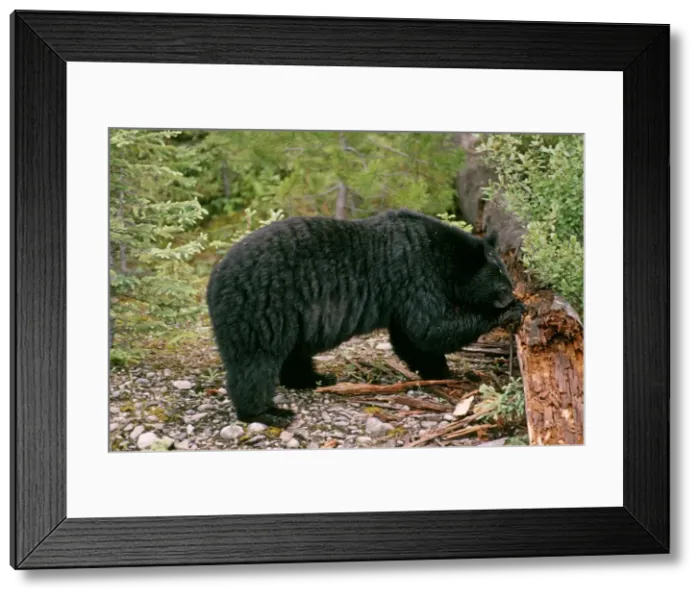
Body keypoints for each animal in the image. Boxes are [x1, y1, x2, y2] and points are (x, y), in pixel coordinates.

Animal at [206, 208, 525, 428]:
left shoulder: (403, 295)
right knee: (256, 363)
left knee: (293, 354)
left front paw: (440, 370)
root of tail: (213, 282)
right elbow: (429, 327)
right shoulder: (414, 275)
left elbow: (411, 340)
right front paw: (507, 312)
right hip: (262, 310)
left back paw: (315, 378)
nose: (509, 295)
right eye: (500, 274)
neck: (442, 255)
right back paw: (268, 412)